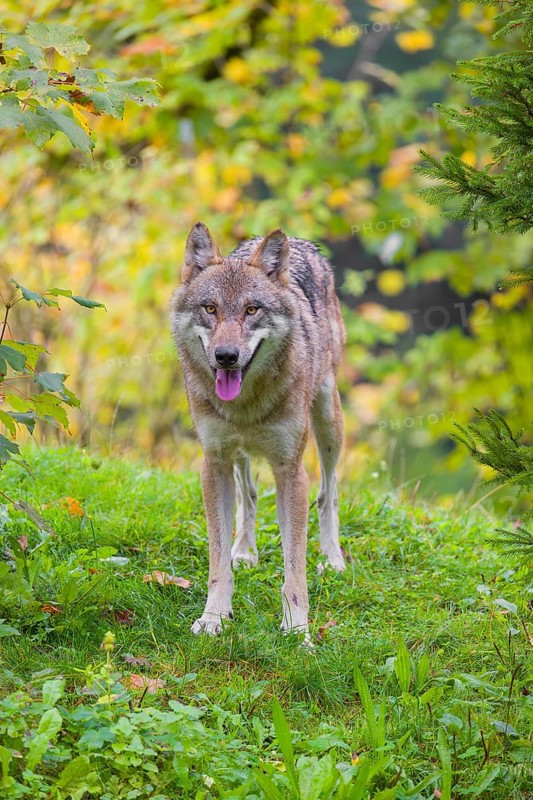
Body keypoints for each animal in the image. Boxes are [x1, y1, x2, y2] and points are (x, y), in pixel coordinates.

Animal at [170, 222, 346, 639]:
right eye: (211, 308)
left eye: (252, 310)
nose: (226, 356)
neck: (246, 407)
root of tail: (299, 240)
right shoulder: (213, 462)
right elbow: (218, 561)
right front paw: (214, 617)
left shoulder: (290, 470)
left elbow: (294, 569)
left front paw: (297, 631)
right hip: (237, 455)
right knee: (248, 493)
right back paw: (245, 551)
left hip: (329, 423)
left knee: (328, 493)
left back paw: (332, 559)